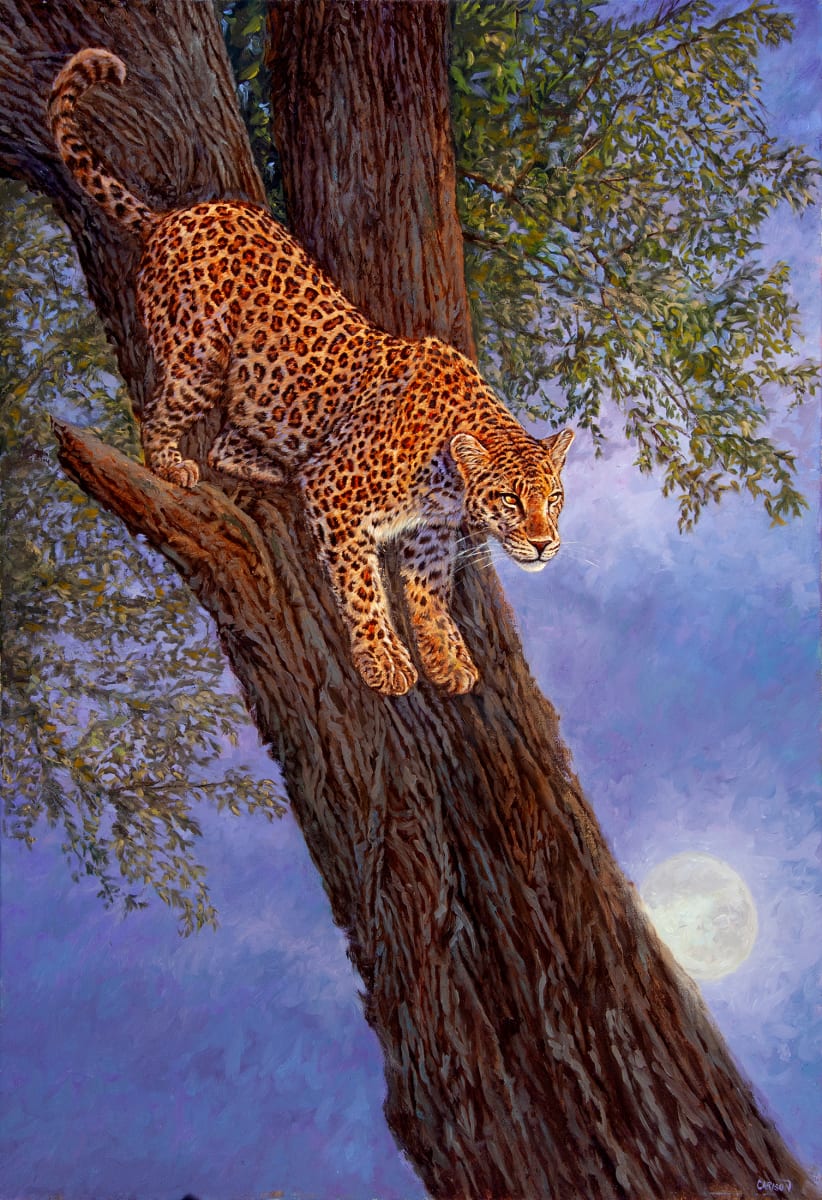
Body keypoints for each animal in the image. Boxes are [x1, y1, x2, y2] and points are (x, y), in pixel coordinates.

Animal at [48, 48, 574, 697]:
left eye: (554, 499)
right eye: (509, 499)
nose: (545, 545)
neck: (449, 481)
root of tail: (170, 215)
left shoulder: (429, 533)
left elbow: (429, 594)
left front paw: (446, 659)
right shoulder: (338, 498)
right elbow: (364, 588)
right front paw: (384, 661)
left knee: (228, 440)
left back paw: (271, 464)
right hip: (200, 359)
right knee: (161, 416)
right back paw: (173, 464)